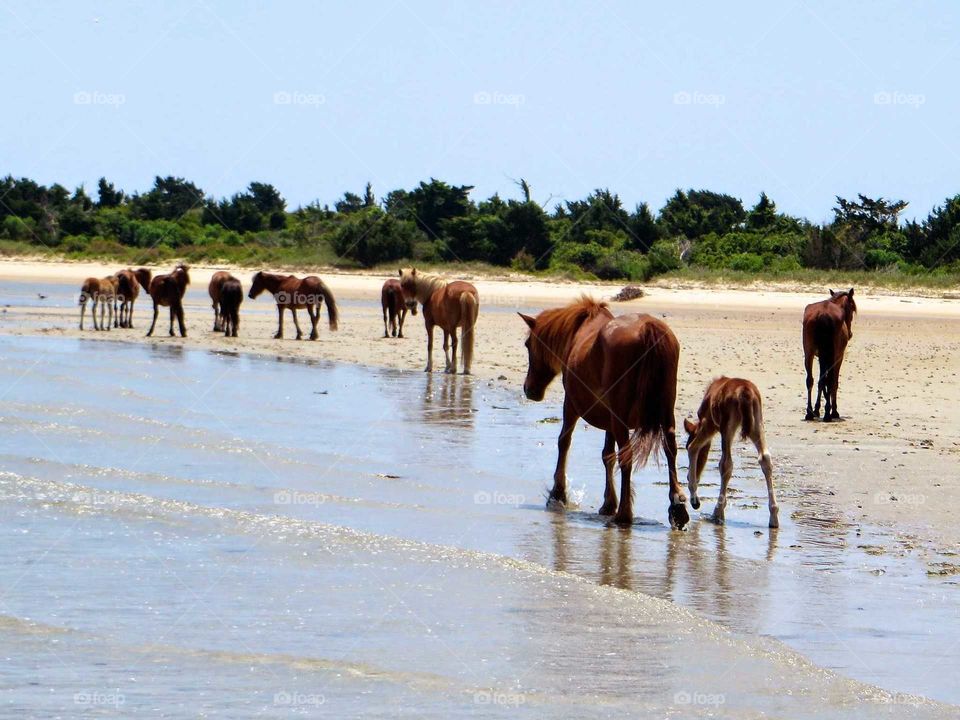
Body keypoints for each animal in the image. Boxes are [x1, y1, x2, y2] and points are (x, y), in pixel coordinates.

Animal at [519, 297, 688, 528]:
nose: (529, 389)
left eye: (528, 345)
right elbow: (607, 456)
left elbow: (564, 442)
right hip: (664, 415)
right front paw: (608, 503)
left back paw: (624, 514)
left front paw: (558, 494)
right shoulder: (610, 422)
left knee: (627, 457)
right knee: (670, 450)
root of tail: (648, 327)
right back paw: (677, 507)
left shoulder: (571, 405)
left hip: (620, 418)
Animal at [683, 377, 779, 528]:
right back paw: (774, 516)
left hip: (727, 426)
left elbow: (693, 447)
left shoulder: (709, 423)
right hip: (756, 423)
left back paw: (717, 513)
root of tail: (745, 392)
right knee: (765, 458)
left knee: (725, 463)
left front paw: (694, 497)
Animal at [803, 288, 857, 421]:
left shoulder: (821, 357)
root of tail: (823, 313)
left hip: (809, 353)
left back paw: (810, 412)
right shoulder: (838, 357)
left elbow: (822, 381)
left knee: (810, 380)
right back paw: (828, 413)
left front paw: (817, 410)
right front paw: (833, 410)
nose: (850, 334)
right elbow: (833, 382)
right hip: (832, 355)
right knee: (830, 380)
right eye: (852, 308)